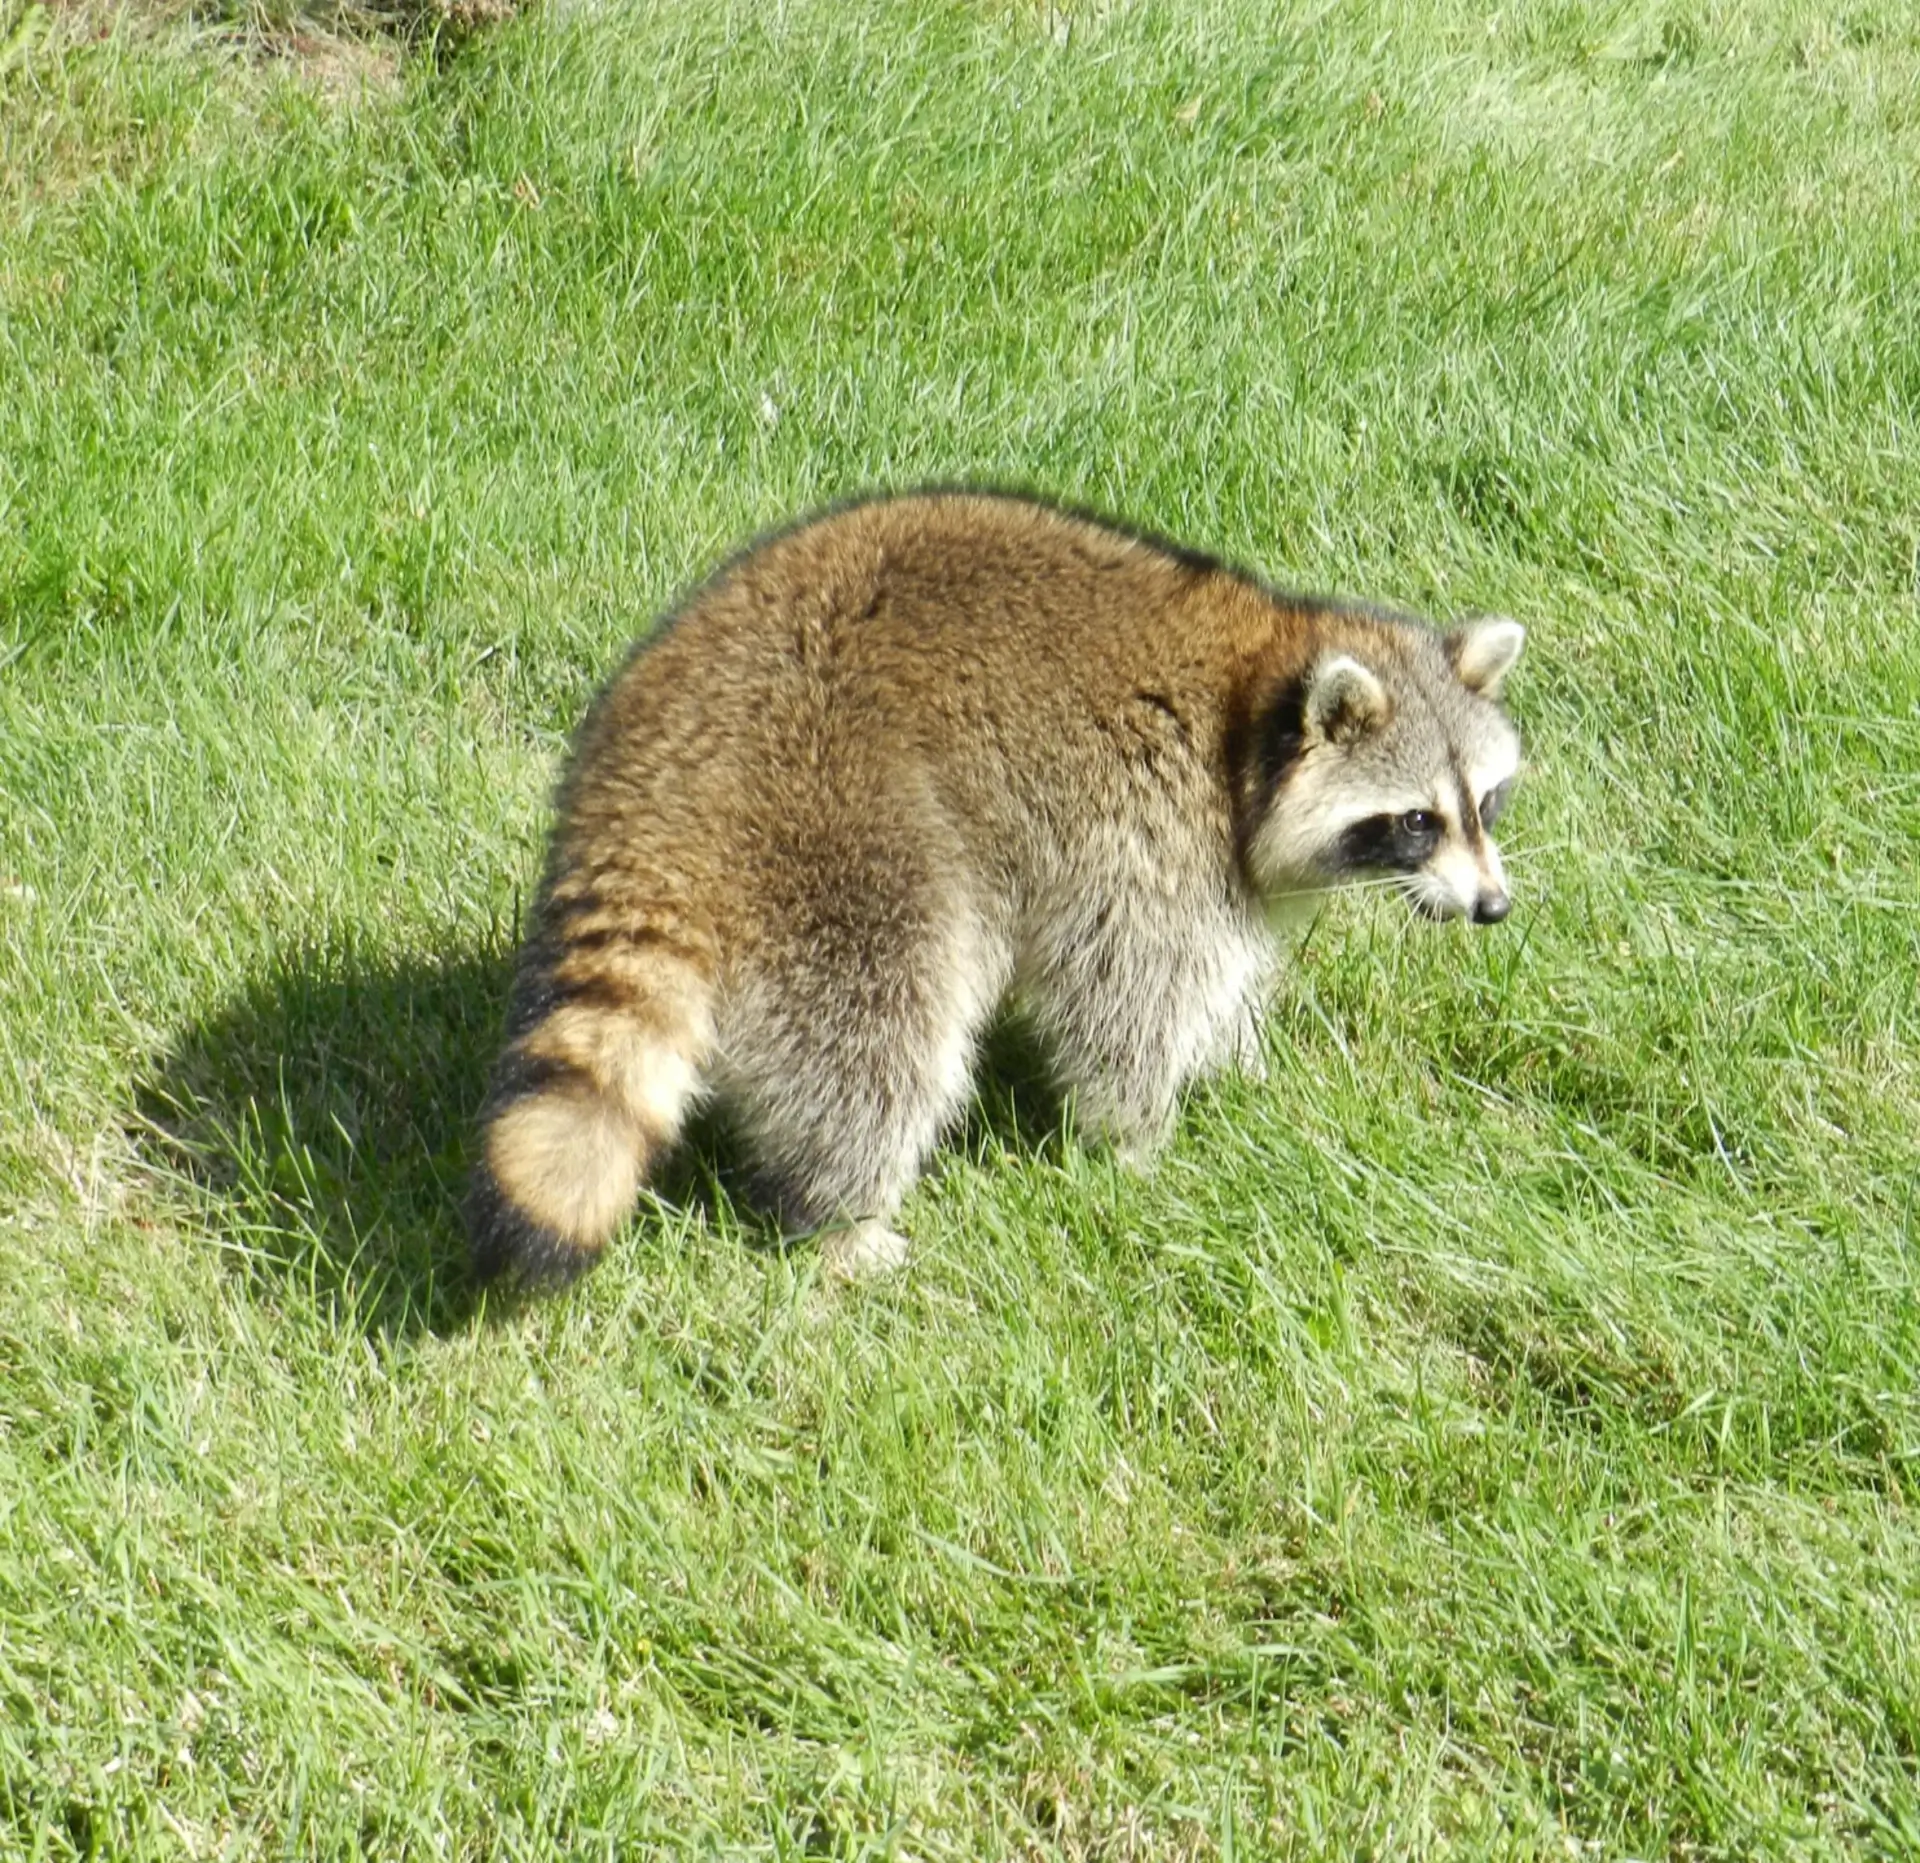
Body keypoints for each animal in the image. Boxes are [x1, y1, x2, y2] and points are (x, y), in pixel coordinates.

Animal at [472, 485, 1520, 1282]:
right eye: (1416, 821)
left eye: (1486, 803)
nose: (1494, 908)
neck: (1250, 699)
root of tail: (654, 780)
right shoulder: (1144, 828)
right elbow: (1127, 995)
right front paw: (1139, 1141)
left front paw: (1237, 1061)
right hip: (841, 830)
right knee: (884, 1031)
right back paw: (845, 1217)